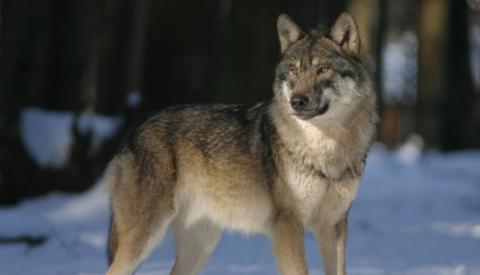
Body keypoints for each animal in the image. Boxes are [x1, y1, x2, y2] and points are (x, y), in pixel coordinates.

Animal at [105, 11, 378, 274]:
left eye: (323, 70)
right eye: (294, 71)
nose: (297, 101)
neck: (326, 148)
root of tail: (135, 126)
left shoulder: (334, 227)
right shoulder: (288, 225)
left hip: (200, 247)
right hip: (144, 240)